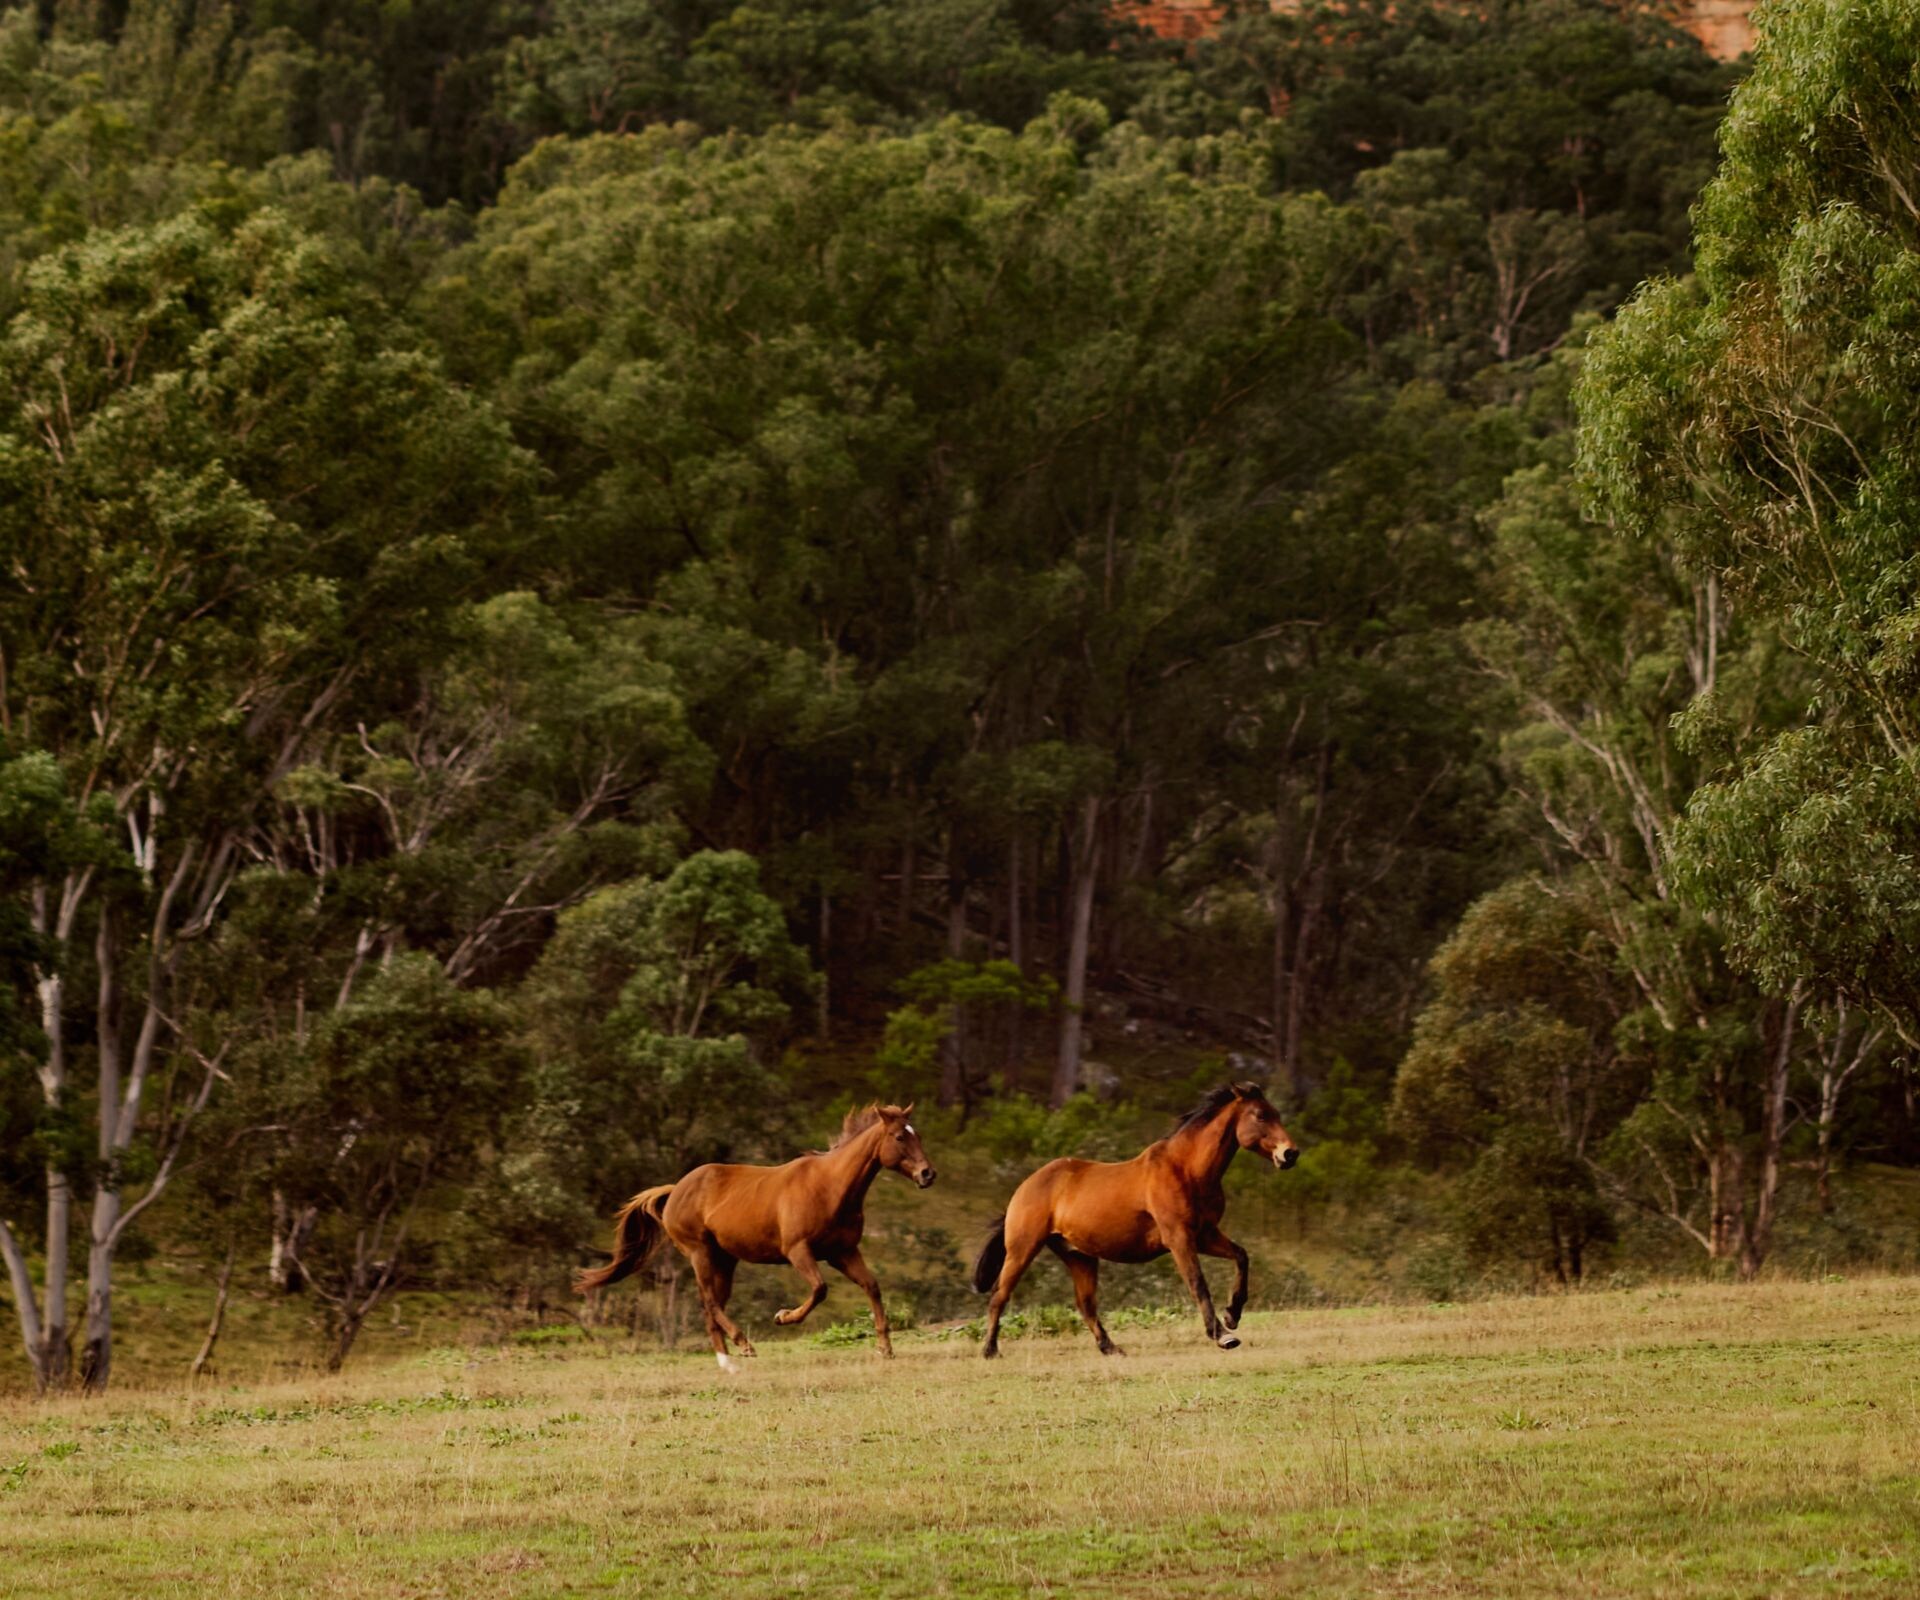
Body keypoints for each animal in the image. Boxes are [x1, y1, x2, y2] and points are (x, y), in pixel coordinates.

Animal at [575, 1104, 935, 1370]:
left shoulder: (843, 1252)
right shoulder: (798, 1252)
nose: (927, 1174)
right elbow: (819, 1289)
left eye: (917, 1134)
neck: (830, 1187)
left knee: (713, 1304)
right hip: (700, 1253)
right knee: (708, 1301)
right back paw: (740, 1347)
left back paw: (728, 1358)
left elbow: (871, 1287)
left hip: (725, 1260)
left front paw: (885, 1348)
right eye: (898, 1136)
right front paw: (783, 1317)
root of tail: (675, 1189)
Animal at [970, 1080, 1297, 1358]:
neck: (1186, 1170)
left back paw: (1111, 1348)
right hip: (1023, 1249)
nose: (1290, 1154)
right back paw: (990, 1350)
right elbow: (1198, 1283)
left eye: (1276, 1114)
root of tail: (1025, 1187)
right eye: (1260, 1116)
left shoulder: (1205, 1234)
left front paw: (1233, 1314)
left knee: (1086, 1305)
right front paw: (1223, 1335)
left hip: (1080, 1257)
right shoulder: (1179, 1238)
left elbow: (1241, 1256)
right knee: (999, 1296)